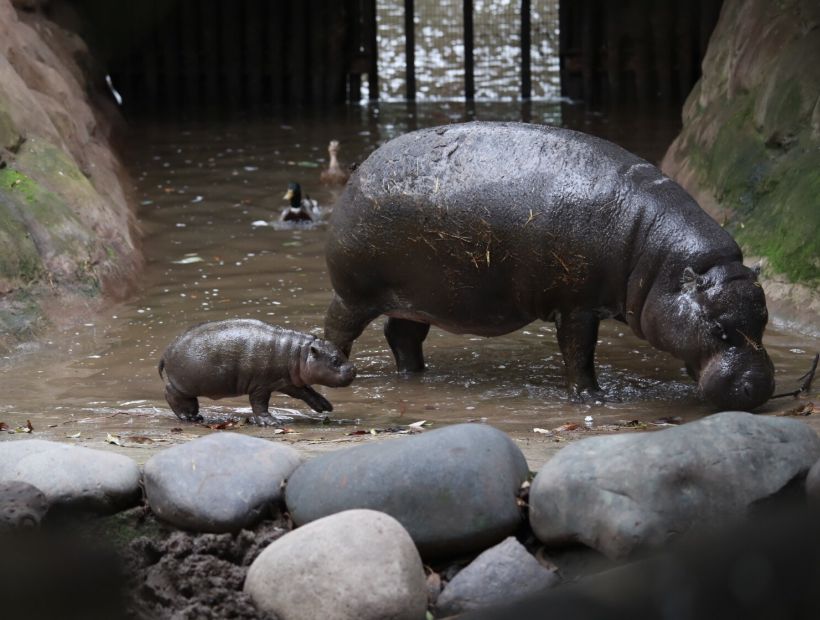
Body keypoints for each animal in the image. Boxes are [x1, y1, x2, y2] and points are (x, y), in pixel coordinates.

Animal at [157, 320, 356, 426]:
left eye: (342, 353)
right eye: (335, 360)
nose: (353, 369)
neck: (299, 353)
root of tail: (166, 351)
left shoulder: (288, 382)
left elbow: (307, 392)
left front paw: (325, 406)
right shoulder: (261, 385)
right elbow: (260, 404)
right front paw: (272, 422)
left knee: (187, 400)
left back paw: (196, 416)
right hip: (183, 384)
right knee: (169, 393)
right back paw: (188, 417)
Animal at [326, 121, 776, 412]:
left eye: (764, 321)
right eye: (718, 329)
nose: (759, 388)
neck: (660, 257)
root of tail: (360, 169)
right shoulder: (577, 306)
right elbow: (578, 353)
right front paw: (593, 398)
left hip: (419, 298)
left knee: (401, 335)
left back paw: (417, 375)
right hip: (355, 292)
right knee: (338, 327)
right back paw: (337, 365)